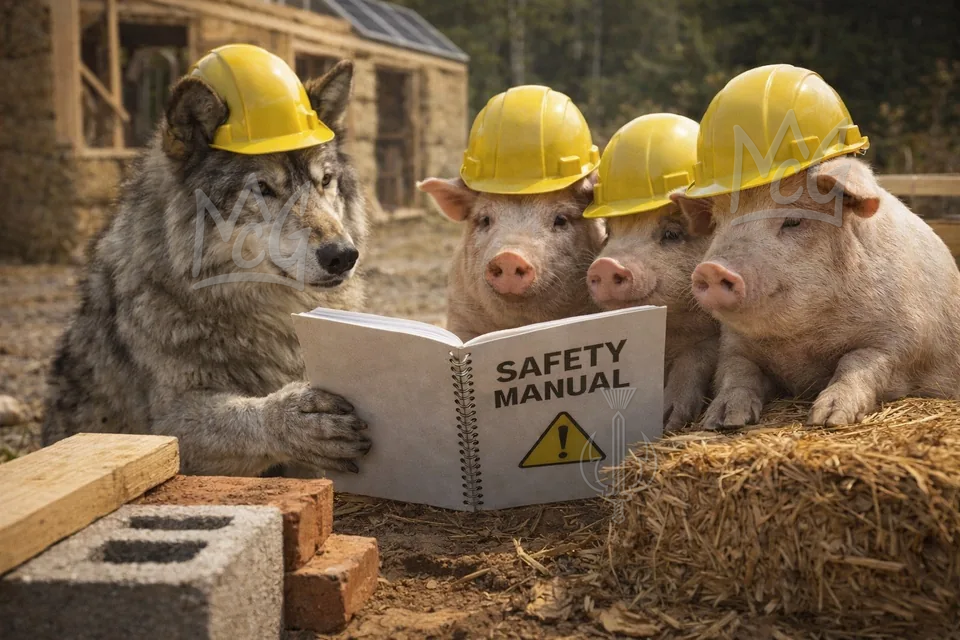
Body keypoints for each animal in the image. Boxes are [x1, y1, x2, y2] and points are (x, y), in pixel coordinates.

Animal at [42, 61, 372, 476]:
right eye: (263, 188)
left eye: (325, 180)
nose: (342, 255)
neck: (272, 318)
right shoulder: (164, 426)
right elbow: (243, 418)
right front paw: (294, 418)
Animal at [673, 156, 960, 430]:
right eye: (717, 223)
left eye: (793, 221)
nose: (711, 269)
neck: (801, 343)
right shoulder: (733, 345)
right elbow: (736, 372)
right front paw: (722, 421)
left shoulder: (904, 340)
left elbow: (857, 362)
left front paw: (828, 419)